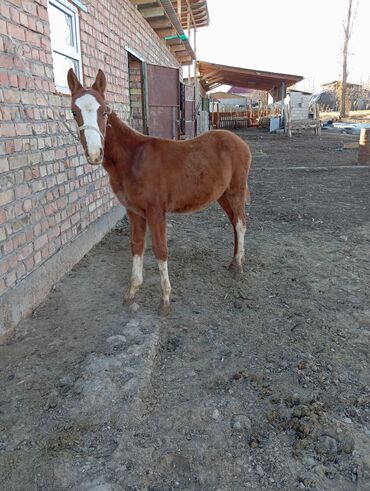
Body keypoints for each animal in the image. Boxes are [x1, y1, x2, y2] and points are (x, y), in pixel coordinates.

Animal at [67, 68, 251, 316]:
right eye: (74, 111)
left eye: (104, 110)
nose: (95, 153)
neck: (132, 159)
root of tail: (240, 142)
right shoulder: (134, 212)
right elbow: (136, 246)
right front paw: (132, 291)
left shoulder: (156, 211)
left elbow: (160, 250)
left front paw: (165, 299)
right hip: (222, 195)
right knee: (234, 222)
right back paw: (234, 261)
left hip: (235, 190)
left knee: (240, 223)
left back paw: (238, 265)